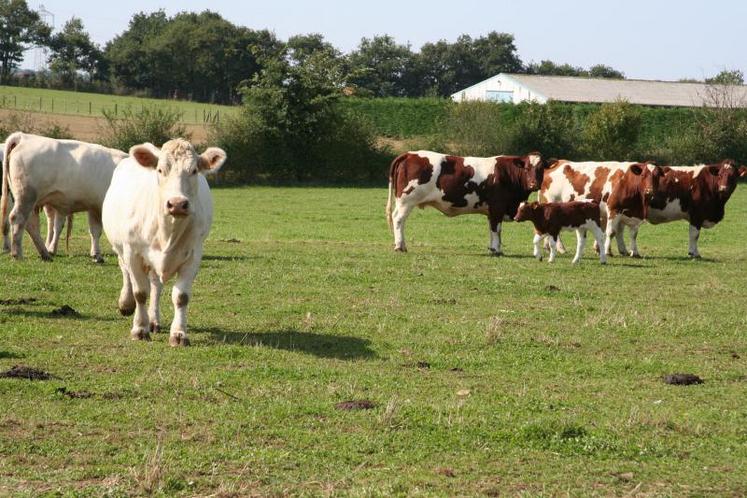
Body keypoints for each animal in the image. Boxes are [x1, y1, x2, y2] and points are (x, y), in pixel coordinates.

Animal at [0, 134, 127, 262]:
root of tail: (23, 137)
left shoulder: (93, 206)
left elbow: (94, 231)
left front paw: (96, 255)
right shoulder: (100, 207)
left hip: (32, 200)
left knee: (31, 224)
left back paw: (45, 254)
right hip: (27, 195)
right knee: (17, 218)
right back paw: (17, 254)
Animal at [101, 138, 225, 344]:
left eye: (194, 170)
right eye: (160, 170)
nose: (177, 204)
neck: (168, 232)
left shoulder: (193, 255)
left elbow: (181, 296)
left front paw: (179, 334)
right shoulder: (132, 251)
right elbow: (140, 293)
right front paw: (139, 329)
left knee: (155, 286)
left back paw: (154, 320)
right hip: (120, 247)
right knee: (125, 272)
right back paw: (126, 303)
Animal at [388, 150, 548, 253]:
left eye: (541, 169)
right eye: (527, 168)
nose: (534, 184)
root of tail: (409, 154)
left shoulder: (493, 211)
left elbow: (495, 230)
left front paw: (494, 249)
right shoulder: (497, 207)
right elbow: (496, 229)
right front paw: (496, 250)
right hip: (406, 201)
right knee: (398, 219)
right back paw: (400, 246)